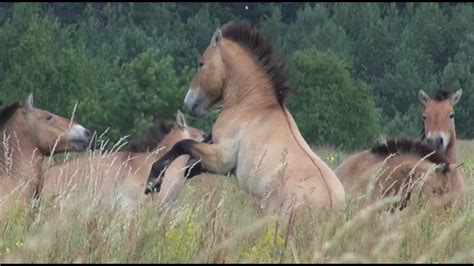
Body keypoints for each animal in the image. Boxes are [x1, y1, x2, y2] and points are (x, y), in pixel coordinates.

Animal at [144, 20, 344, 216]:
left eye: (201, 63)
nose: (189, 103)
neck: (250, 106)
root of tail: (330, 206)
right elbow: (188, 163)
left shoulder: (221, 159)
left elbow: (182, 145)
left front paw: (153, 181)